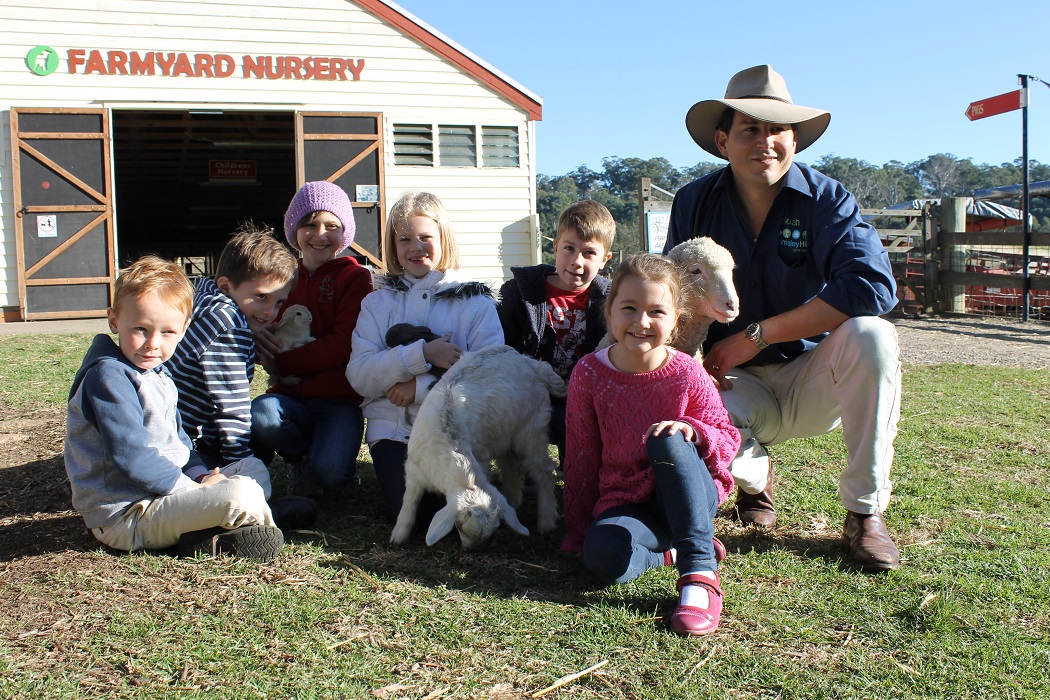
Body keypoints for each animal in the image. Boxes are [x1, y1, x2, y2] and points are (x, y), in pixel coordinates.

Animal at [390, 348, 567, 549]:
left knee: (543, 472)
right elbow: (409, 502)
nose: (471, 550)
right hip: (504, 434)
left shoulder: (480, 459)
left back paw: (546, 522)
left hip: (532, 429)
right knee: (511, 467)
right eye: (459, 525)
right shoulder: (414, 471)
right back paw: (513, 501)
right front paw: (399, 535)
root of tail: (530, 362)